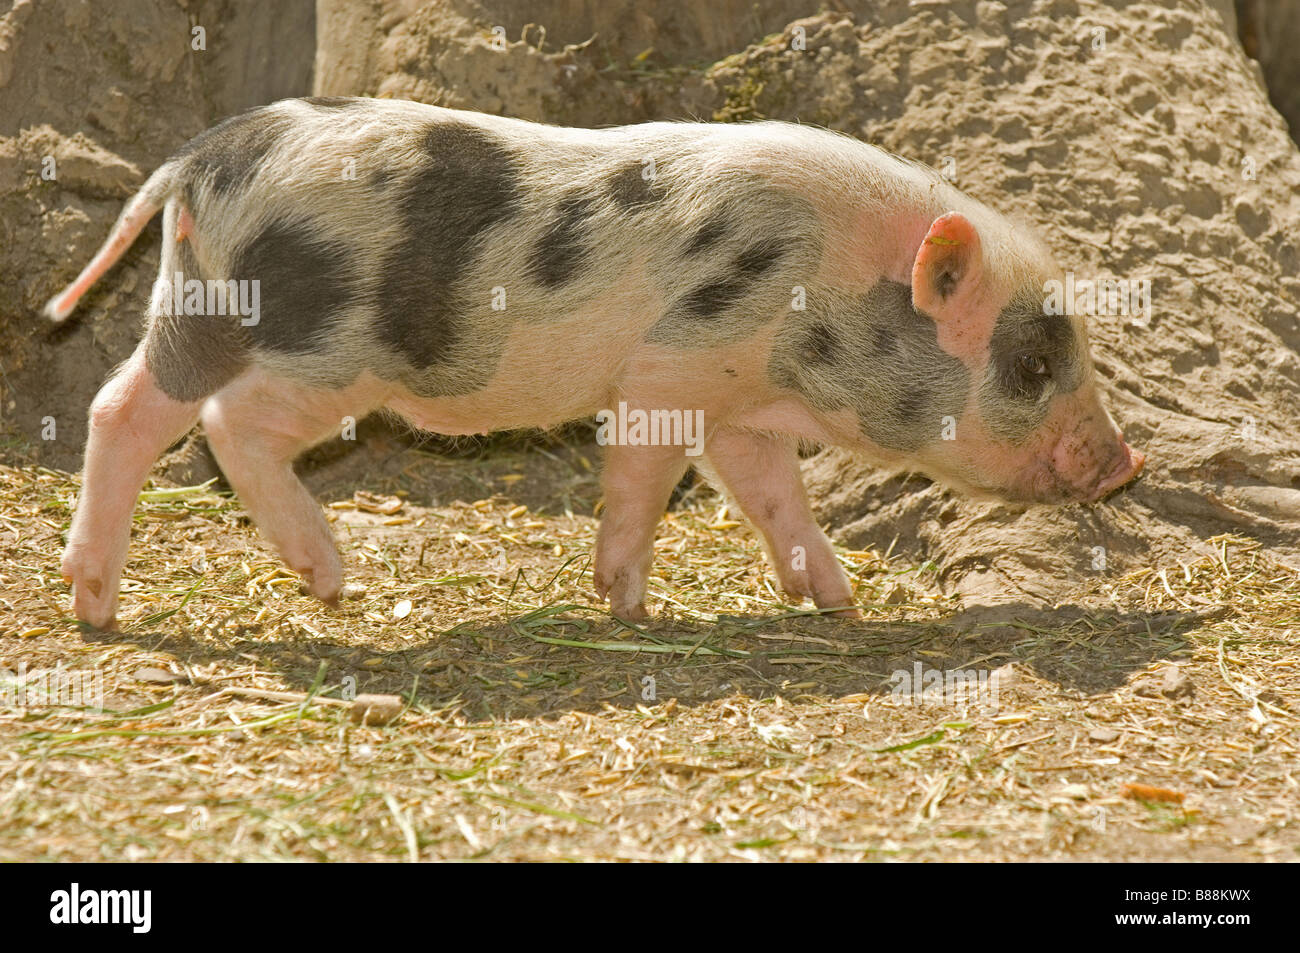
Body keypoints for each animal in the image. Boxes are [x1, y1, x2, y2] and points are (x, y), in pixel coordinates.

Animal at [43, 98, 1138, 631]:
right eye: (1032, 360)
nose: (1125, 462)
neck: (822, 285)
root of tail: (206, 158)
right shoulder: (673, 371)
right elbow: (643, 477)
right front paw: (630, 604)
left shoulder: (741, 406)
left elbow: (770, 495)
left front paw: (835, 602)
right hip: (323, 348)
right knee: (225, 423)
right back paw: (332, 580)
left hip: (194, 301)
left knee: (118, 406)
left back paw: (95, 607)